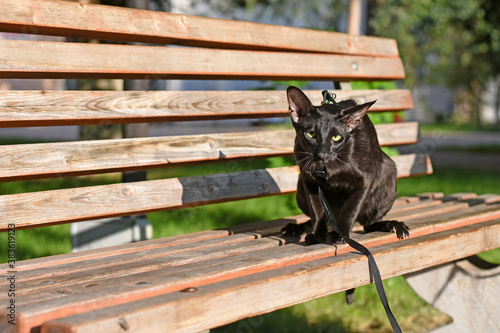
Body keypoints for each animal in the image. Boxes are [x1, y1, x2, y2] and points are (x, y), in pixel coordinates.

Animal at [284, 87, 408, 245]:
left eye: (336, 137)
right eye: (311, 134)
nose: (322, 155)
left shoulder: (365, 180)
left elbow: (350, 210)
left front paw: (341, 235)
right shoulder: (308, 179)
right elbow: (316, 211)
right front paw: (316, 234)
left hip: (389, 171)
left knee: (368, 224)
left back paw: (393, 225)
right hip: (300, 189)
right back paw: (294, 228)